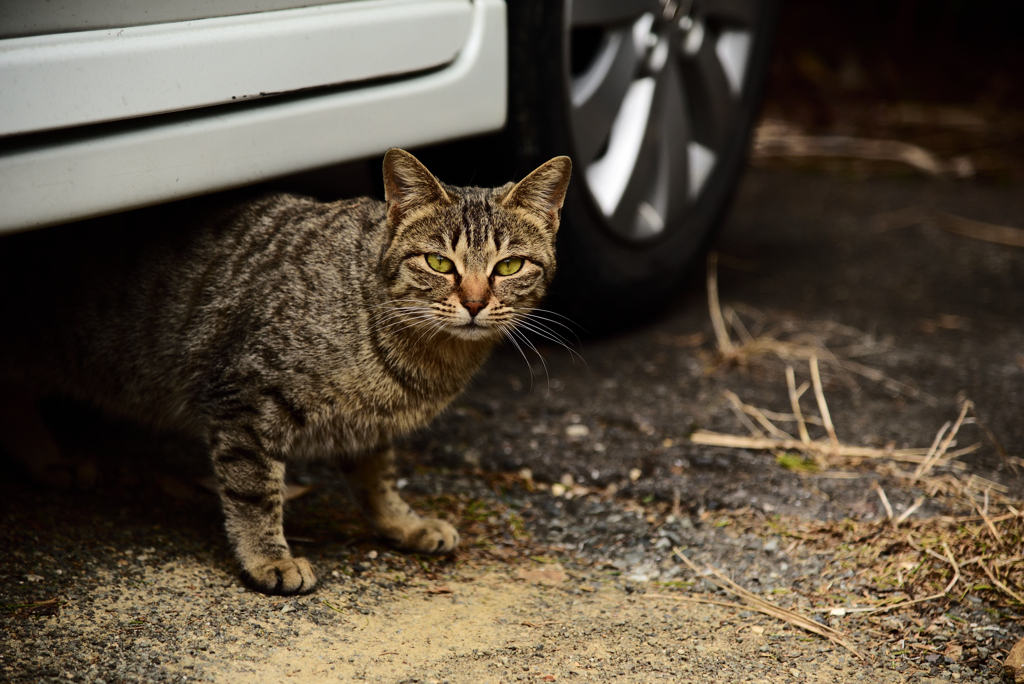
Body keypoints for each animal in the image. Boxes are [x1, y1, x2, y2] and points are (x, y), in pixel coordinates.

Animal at [0, 148, 573, 593]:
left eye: (508, 266)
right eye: (438, 263)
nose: (474, 303)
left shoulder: (369, 422)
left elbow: (378, 477)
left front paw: (401, 523)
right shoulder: (244, 402)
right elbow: (255, 492)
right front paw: (268, 559)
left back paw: (51, 464)